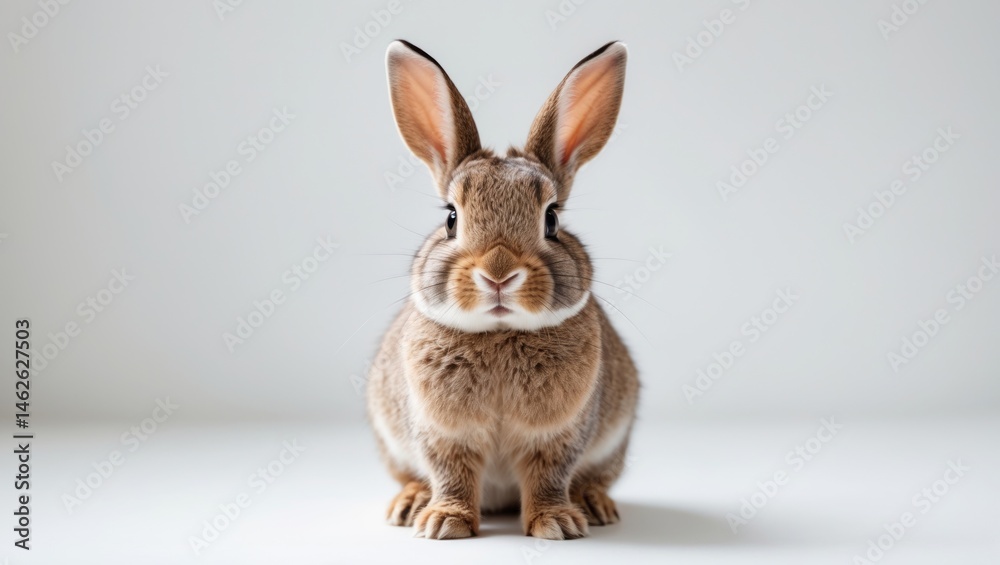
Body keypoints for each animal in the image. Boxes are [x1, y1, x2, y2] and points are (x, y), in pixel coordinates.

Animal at [367, 39, 639, 540]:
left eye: (551, 220)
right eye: (451, 218)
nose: (498, 273)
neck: (498, 333)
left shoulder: (558, 435)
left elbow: (549, 475)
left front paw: (557, 524)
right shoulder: (442, 434)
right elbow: (450, 473)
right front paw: (444, 523)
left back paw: (595, 504)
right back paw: (410, 504)